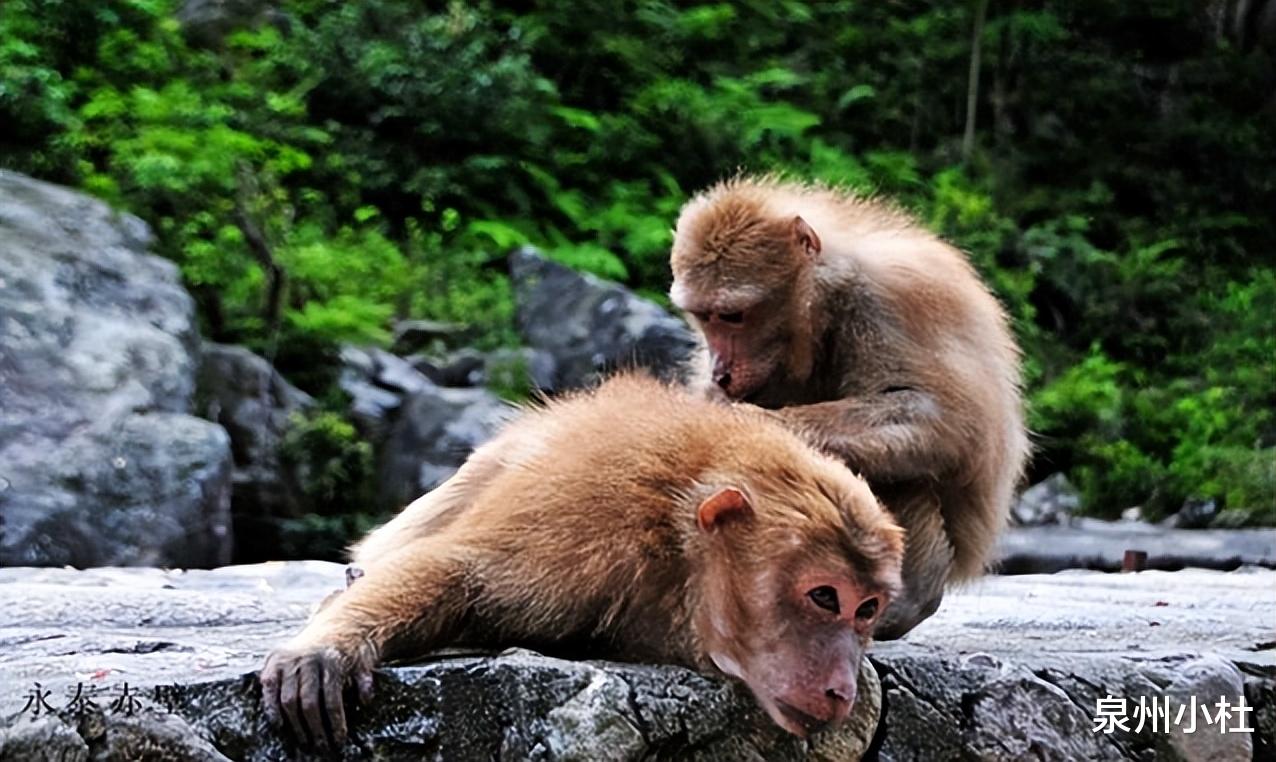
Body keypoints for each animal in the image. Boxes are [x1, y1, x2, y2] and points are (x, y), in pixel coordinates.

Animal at [261, 375, 908, 750]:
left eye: (866, 610)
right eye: (824, 596)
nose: (842, 689)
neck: (674, 550)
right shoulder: (589, 525)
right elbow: (464, 572)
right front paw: (326, 648)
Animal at [668, 174, 1025, 638]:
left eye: (732, 316)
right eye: (704, 316)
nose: (720, 370)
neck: (824, 298)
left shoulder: (884, 303)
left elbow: (945, 420)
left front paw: (747, 423)